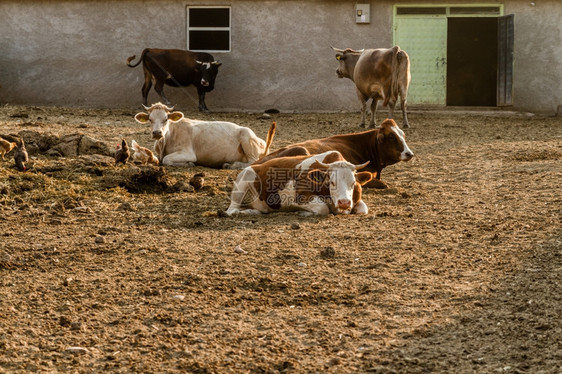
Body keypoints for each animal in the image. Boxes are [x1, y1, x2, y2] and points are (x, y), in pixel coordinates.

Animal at [136, 101, 276, 168]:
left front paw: (188, 164)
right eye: (150, 119)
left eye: (166, 119)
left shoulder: (188, 153)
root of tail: (262, 141)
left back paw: (231, 165)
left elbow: (166, 159)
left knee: (253, 162)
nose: (157, 132)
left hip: (246, 136)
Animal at [225, 150, 374, 216]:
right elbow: (322, 208)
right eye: (332, 182)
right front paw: (302, 212)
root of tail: (254, 166)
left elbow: (363, 210)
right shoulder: (300, 197)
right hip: (243, 182)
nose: (344, 203)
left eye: (353, 183)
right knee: (231, 210)